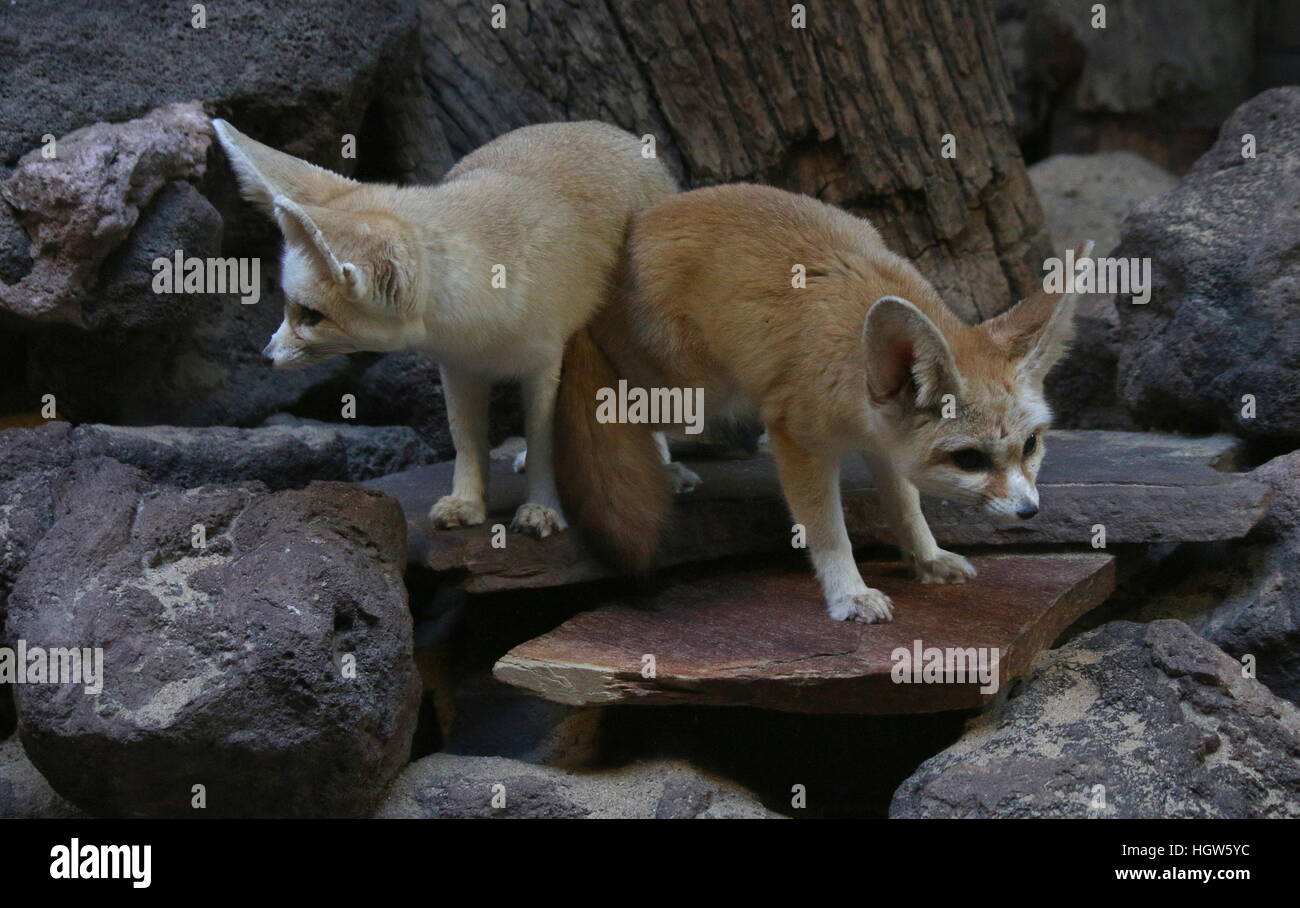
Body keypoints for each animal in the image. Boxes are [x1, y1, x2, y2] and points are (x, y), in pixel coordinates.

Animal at [208, 123, 676, 541]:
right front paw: (467, 502)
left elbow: (544, 438)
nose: (266, 356)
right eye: (292, 309)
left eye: (311, 315)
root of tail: (615, 132)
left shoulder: (544, 365)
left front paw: (543, 507)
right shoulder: (458, 368)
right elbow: (465, 439)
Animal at [559, 183, 1086, 621]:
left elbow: (906, 509)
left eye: (1031, 446)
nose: (1030, 511)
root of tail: (636, 225)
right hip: (692, 391)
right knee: (610, 395)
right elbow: (827, 531)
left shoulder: (885, 445)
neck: (855, 362)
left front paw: (927, 558)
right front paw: (848, 593)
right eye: (971, 460)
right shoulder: (796, 438)